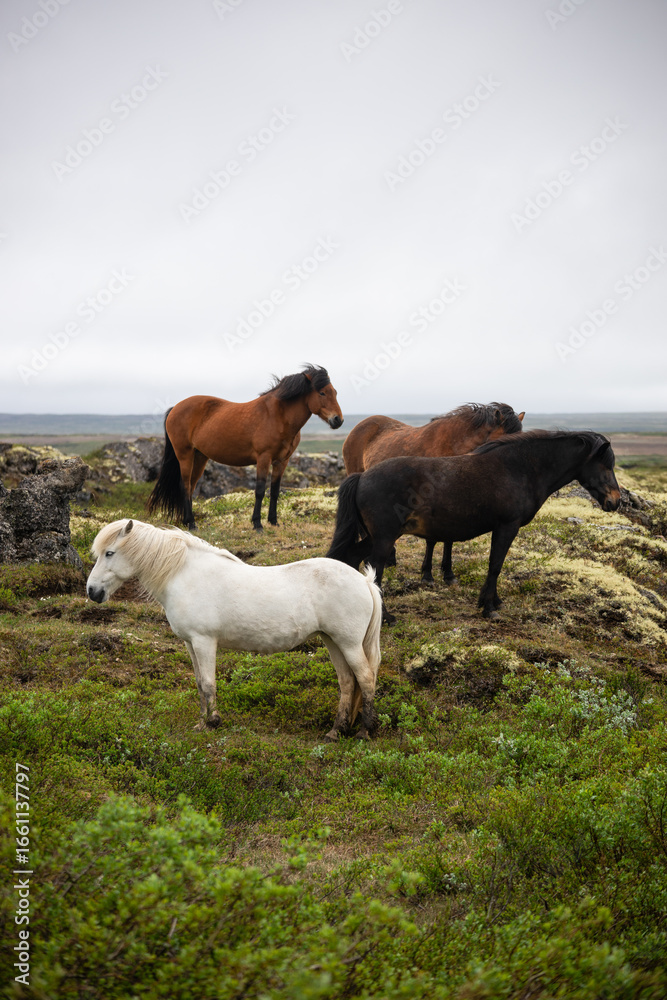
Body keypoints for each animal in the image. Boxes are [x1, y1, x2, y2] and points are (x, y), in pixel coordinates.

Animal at [87, 519, 382, 740]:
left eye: (109, 553)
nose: (92, 592)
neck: (185, 576)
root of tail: (365, 581)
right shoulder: (190, 644)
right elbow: (199, 683)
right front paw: (201, 723)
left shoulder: (204, 641)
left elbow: (208, 683)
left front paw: (213, 722)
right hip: (333, 641)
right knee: (347, 682)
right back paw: (336, 731)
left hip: (349, 643)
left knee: (366, 678)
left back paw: (364, 732)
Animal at [147, 364, 343, 531]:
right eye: (322, 392)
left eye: (335, 392)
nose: (338, 420)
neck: (278, 416)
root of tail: (175, 408)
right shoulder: (263, 458)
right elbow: (260, 490)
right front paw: (257, 524)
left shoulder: (282, 461)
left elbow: (275, 491)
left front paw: (274, 521)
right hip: (185, 455)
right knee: (185, 486)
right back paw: (192, 524)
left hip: (200, 457)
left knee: (191, 486)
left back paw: (187, 521)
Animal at [327, 431, 621, 619]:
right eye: (606, 466)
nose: (616, 501)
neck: (520, 469)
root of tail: (362, 476)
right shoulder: (507, 526)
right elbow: (495, 564)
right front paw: (488, 607)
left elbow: (496, 566)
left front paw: (494, 602)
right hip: (384, 538)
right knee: (374, 569)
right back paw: (386, 616)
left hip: (376, 537)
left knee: (351, 557)